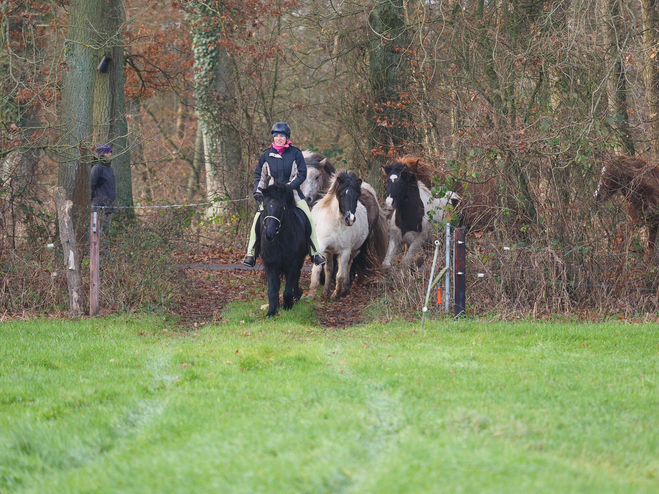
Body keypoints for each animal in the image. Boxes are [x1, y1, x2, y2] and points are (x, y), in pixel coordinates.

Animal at [258, 182, 310, 316]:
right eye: (265, 206)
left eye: (281, 207)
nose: (269, 234)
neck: (279, 241)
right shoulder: (270, 265)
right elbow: (272, 290)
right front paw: (272, 311)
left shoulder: (291, 264)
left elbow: (287, 288)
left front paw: (288, 305)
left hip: (300, 260)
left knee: (297, 275)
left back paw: (296, 294)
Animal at [310, 172, 390, 300]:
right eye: (342, 195)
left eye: (357, 196)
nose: (350, 219)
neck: (335, 223)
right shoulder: (322, 246)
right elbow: (320, 269)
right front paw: (313, 294)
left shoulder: (345, 251)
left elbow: (340, 275)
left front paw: (336, 294)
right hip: (331, 251)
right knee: (331, 268)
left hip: (356, 249)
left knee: (349, 265)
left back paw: (345, 288)